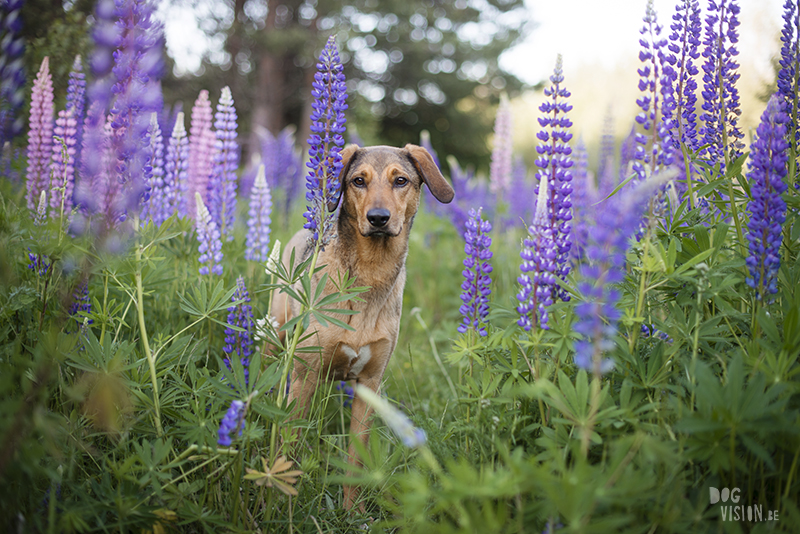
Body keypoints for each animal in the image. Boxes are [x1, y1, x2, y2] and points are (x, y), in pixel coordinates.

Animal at [270, 143, 454, 510]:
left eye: (401, 180)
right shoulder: (305, 376)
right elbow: (291, 444)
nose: (378, 218)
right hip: (275, 336)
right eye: (358, 180)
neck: (371, 271)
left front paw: (350, 510)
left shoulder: (369, 384)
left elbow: (356, 457)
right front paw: (284, 503)